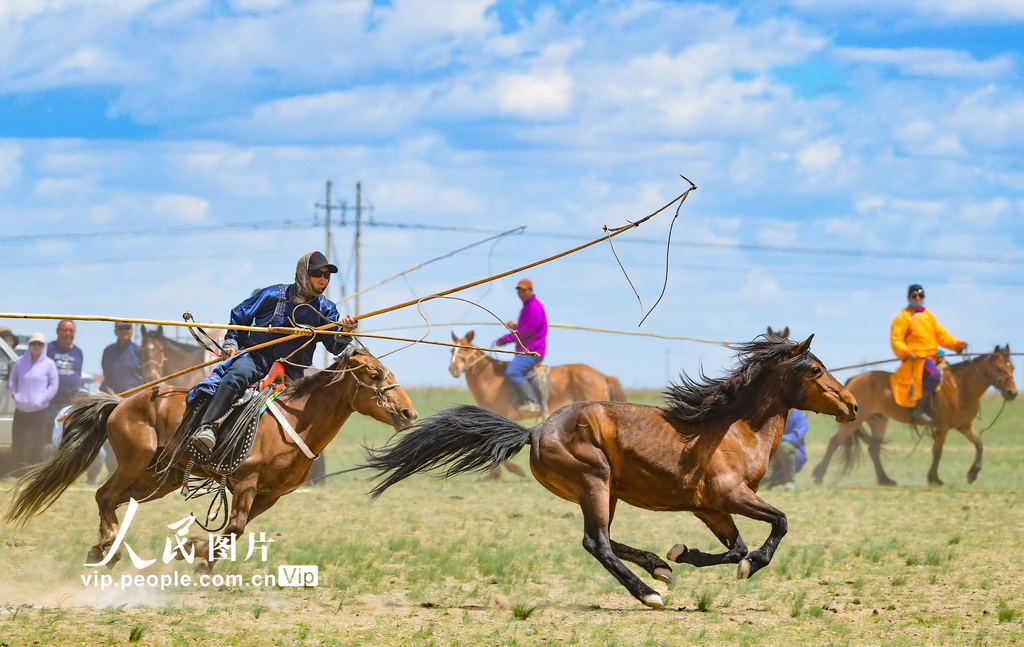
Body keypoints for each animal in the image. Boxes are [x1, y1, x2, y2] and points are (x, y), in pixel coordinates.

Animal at [5, 347, 418, 574]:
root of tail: (121, 401)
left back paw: (101, 549)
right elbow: (233, 528)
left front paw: (198, 555)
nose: (408, 413)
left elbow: (235, 532)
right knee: (104, 496)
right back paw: (110, 547)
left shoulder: (269, 495)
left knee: (116, 501)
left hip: (159, 478)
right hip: (134, 461)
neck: (293, 422)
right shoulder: (246, 483)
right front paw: (193, 552)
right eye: (375, 375)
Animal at [361, 335, 858, 608]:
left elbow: (734, 547)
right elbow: (779, 523)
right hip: (594, 483)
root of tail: (535, 430)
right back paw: (649, 594)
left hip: (608, 491)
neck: (736, 429)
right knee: (596, 542)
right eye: (816, 368)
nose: (852, 405)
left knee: (603, 539)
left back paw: (658, 566)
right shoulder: (731, 496)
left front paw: (684, 554)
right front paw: (752, 565)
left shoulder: (709, 508)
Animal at [811, 345, 1016, 487]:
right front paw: (934, 478)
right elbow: (937, 452)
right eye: (999, 369)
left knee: (873, 449)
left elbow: (979, 445)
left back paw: (885, 479)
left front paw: (972, 474)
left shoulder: (964, 426)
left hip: (878, 421)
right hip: (857, 421)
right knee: (835, 442)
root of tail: (855, 378)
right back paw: (819, 475)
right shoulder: (942, 427)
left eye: (1012, 368)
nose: (1012, 393)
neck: (960, 386)